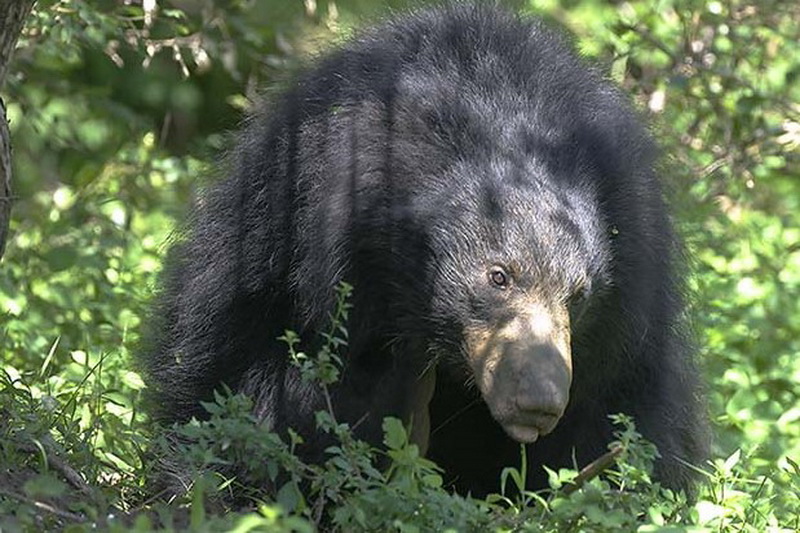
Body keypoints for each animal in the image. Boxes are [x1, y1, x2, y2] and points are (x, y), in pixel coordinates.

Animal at [141, 3, 708, 494]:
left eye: (579, 297)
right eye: (498, 276)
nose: (538, 403)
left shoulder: (631, 304)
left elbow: (616, 420)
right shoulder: (289, 236)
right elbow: (246, 380)